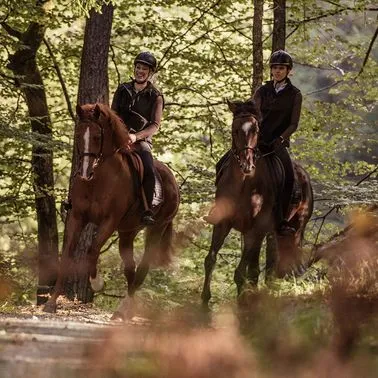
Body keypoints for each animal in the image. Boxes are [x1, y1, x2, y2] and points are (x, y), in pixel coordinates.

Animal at [43, 103, 179, 318]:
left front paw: (97, 283)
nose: (85, 173)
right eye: (78, 134)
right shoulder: (76, 217)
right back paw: (125, 310)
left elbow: (92, 249)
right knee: (130, 269)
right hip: (128, 232)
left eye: (97, 136)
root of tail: (173, 180)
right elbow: (67, 255)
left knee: (142, 269)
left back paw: (125, 310)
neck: (97, 180)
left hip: (157, 228)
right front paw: (51, 303)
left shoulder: (109, 221)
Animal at [201, 99, 314, 304]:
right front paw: (204, 301)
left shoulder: (254, 229)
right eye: (235, 129)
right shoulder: (222, 223)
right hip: (267, 233)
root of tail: (304, 176)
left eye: (256, 130)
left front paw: (242, 303)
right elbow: (210, 260)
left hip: (295, 228)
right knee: (262, 267)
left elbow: (239, 272)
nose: (247, 165)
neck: (243, 183)